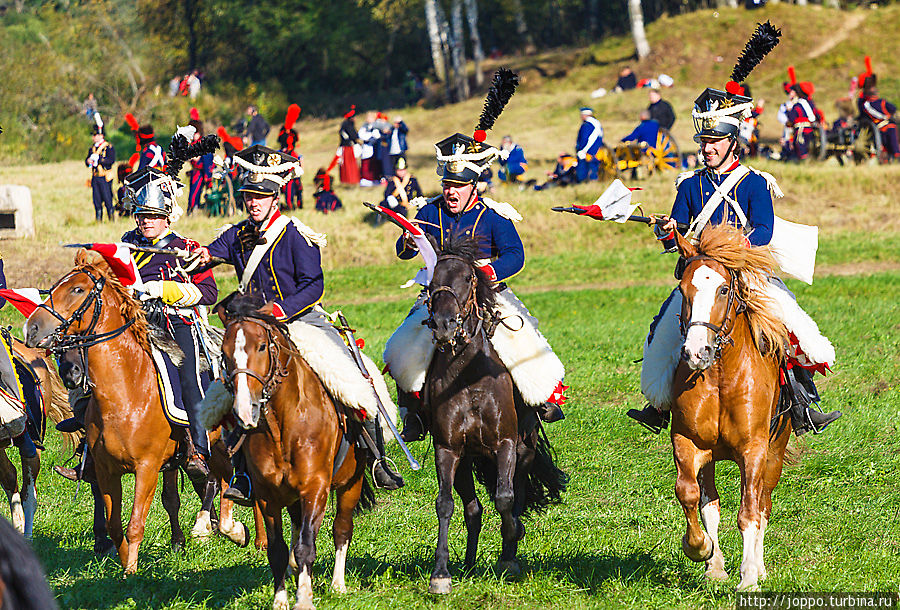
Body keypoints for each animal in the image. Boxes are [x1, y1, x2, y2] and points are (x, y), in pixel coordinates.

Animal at [25, 249, 250, 572]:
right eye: (54, 287)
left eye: (78, 289)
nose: (31, 329)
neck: (125, 394)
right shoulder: (106, 470)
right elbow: (115, 524)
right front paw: (119, 563)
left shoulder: (147, 468)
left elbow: (135, 525)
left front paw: (131, 573)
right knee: (208, 483)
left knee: (222, 479)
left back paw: (223, 529)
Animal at [220, 290, 374, 608]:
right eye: (224, 352)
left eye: (261, 346)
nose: (245, 411)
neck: (283, 428)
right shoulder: (267, 496)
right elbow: (277, 549)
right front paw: (280, 599)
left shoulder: (315, 489)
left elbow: (307, 544)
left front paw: (304, 598)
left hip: (350, 484)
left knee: (342, 529)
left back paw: (338, 584)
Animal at [424, 233, 568, 592]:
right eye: (431, 283)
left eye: (467, 278)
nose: (444, 326)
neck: (469, 378)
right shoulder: (448, 450)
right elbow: (445, 504)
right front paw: (441, 573)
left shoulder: (506, 445)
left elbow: (505, 499)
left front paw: (509, 555)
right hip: (466, 463)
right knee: (472, 509)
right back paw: (469, 563)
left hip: (523, 451)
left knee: (515, 494)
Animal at [672, 224, 792, 588]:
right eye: (682, 290)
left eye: (724, 289)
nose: (697, 352)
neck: (722, 376)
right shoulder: (688, 443)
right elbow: (689, 494)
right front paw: (700, 549)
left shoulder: (754, 450)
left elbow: (750, 512)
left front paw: (749, 576)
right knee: (709, 502)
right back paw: (715, 566)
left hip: (775, 454)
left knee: (763, 503)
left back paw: (759, 567)